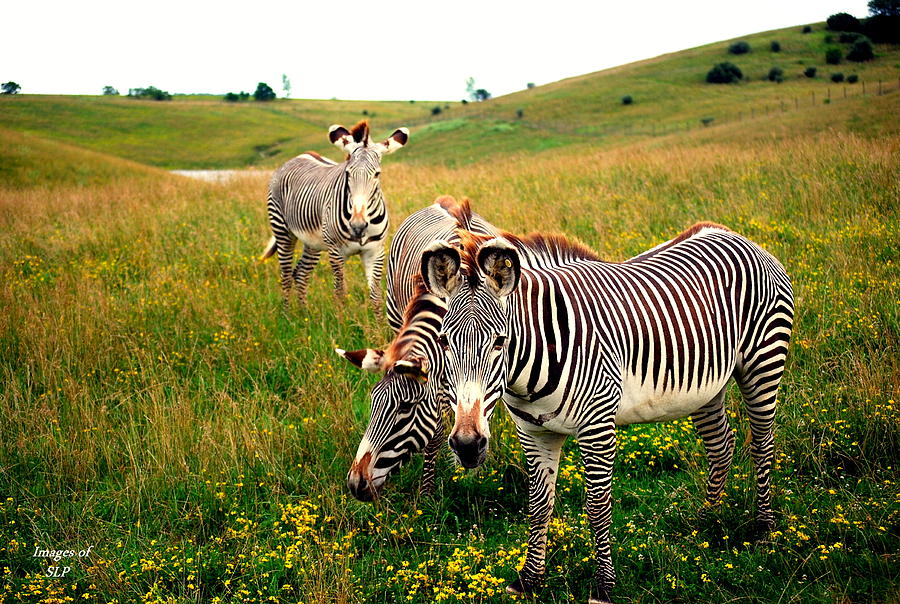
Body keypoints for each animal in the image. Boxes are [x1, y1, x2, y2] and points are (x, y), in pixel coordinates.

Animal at [258, 121, 410, 314]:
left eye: (377, 174)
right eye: (347, 173)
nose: (358, 226)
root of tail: (301, 155)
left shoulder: (375, 251)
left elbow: (376, 297)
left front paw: (379, 323)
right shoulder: (336, 252)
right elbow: (340, 293)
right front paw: (342, 320)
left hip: (313, 242)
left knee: (300, 274)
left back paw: (304, 315)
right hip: (282, 231)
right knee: (285, 275)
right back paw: (287, 315)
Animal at [422, 217, 796, 604]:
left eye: (500, 342)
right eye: (443, 341)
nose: (467, 445)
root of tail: (736, 235)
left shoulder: (597, 426)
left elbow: (597, 506)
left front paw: (603, 586)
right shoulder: (534, 431)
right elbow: (539, 504)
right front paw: (529, 579)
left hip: (763, 362)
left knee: (762, 445)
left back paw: (764, 529)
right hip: (707, 385)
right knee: (721, 446)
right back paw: (707, 520)